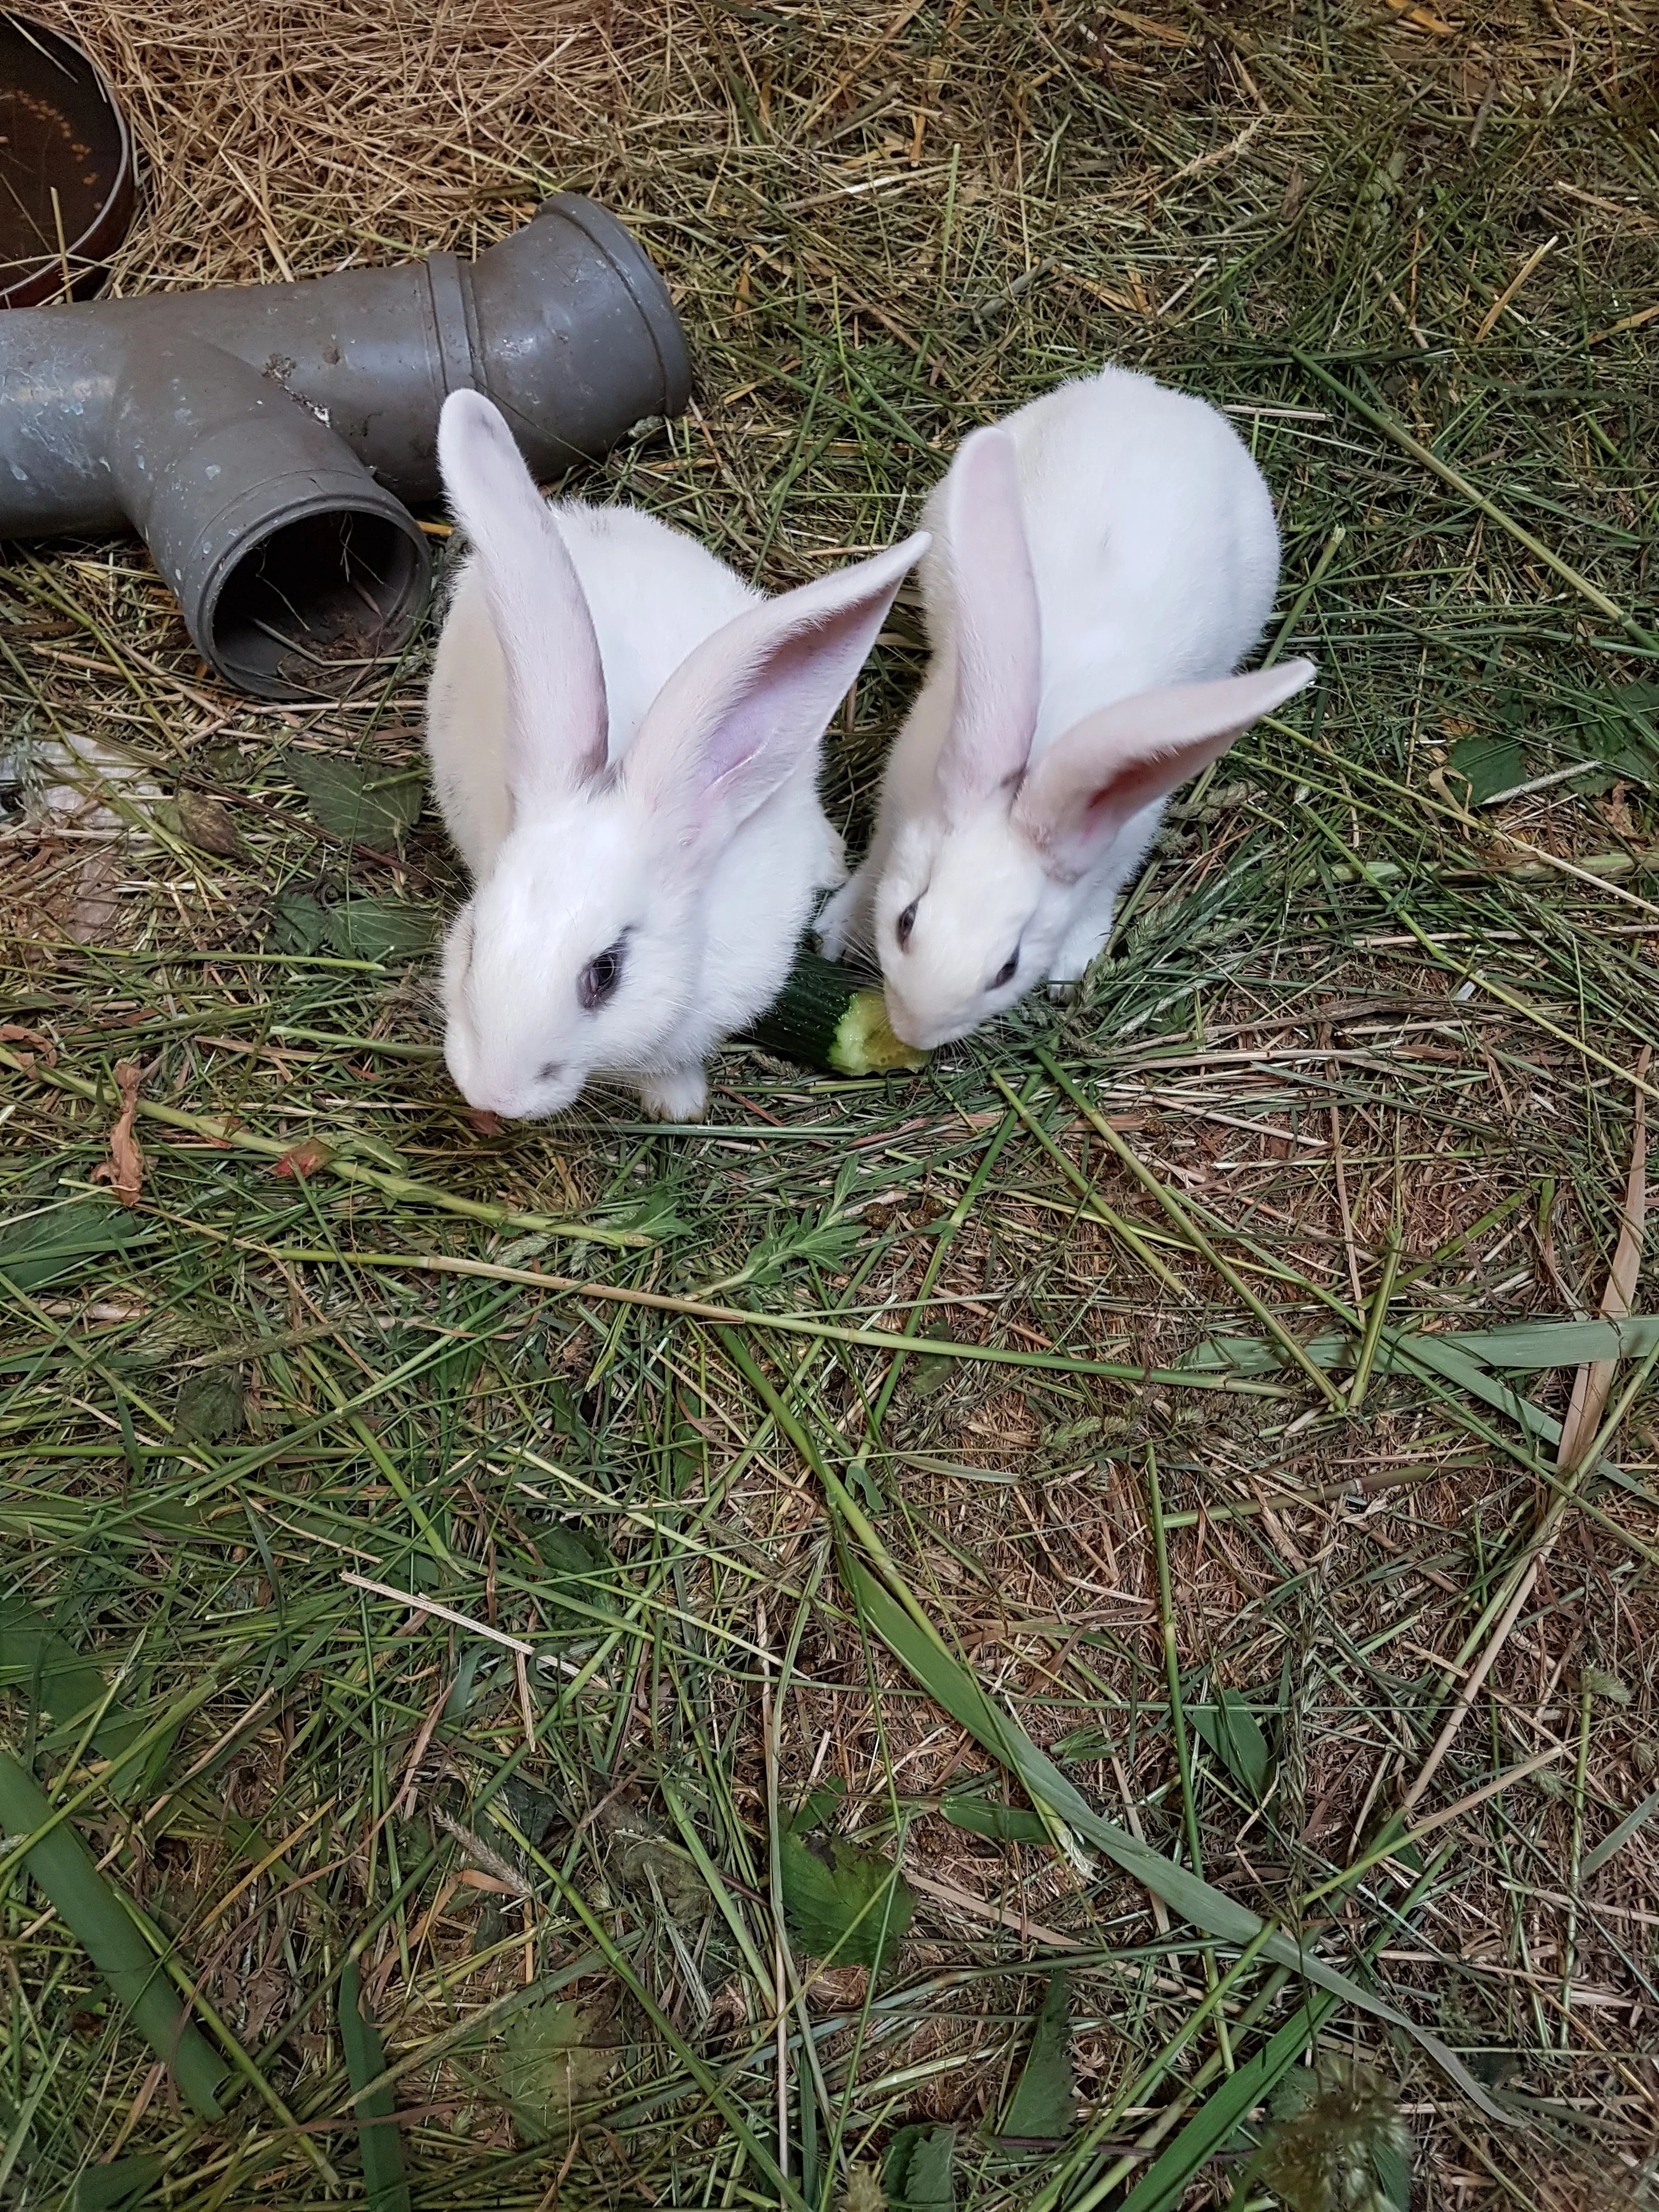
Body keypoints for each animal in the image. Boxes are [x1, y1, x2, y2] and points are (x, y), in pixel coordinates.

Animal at [817, 365, 1316, 1049]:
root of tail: (1147, 391)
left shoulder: (1125, 839)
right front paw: (837, 930)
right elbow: (874, 862)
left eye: (1008, 968)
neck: (1029, 771)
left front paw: (1071, 966)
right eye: (908, 921)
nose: (914, 1033)